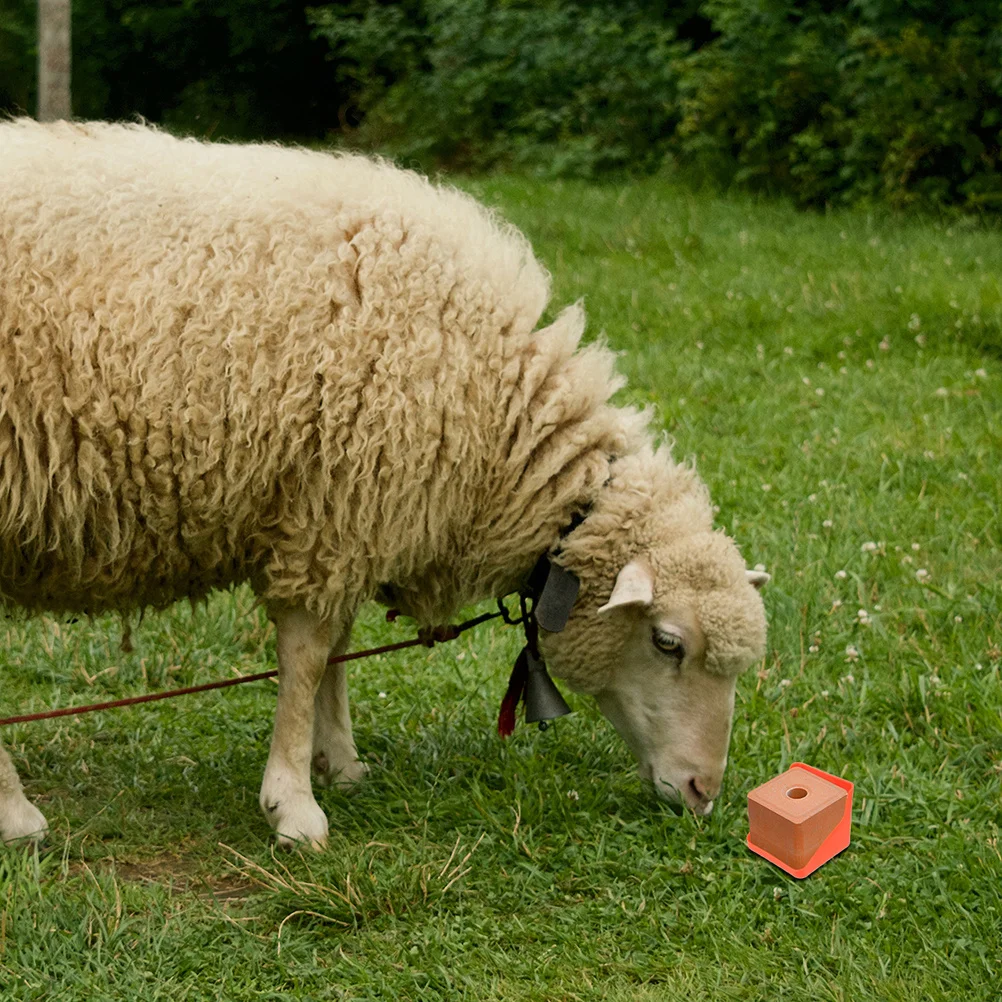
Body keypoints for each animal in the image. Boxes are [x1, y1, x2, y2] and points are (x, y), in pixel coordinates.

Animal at [0, 119, 768, 848]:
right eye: (667, 643)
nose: (704, 793)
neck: (500, 419)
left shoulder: (343, 515)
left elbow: (334, 650)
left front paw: (338, 762)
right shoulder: (333, 507)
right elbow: (307, 656)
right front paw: (293, 805)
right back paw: (17, 814)